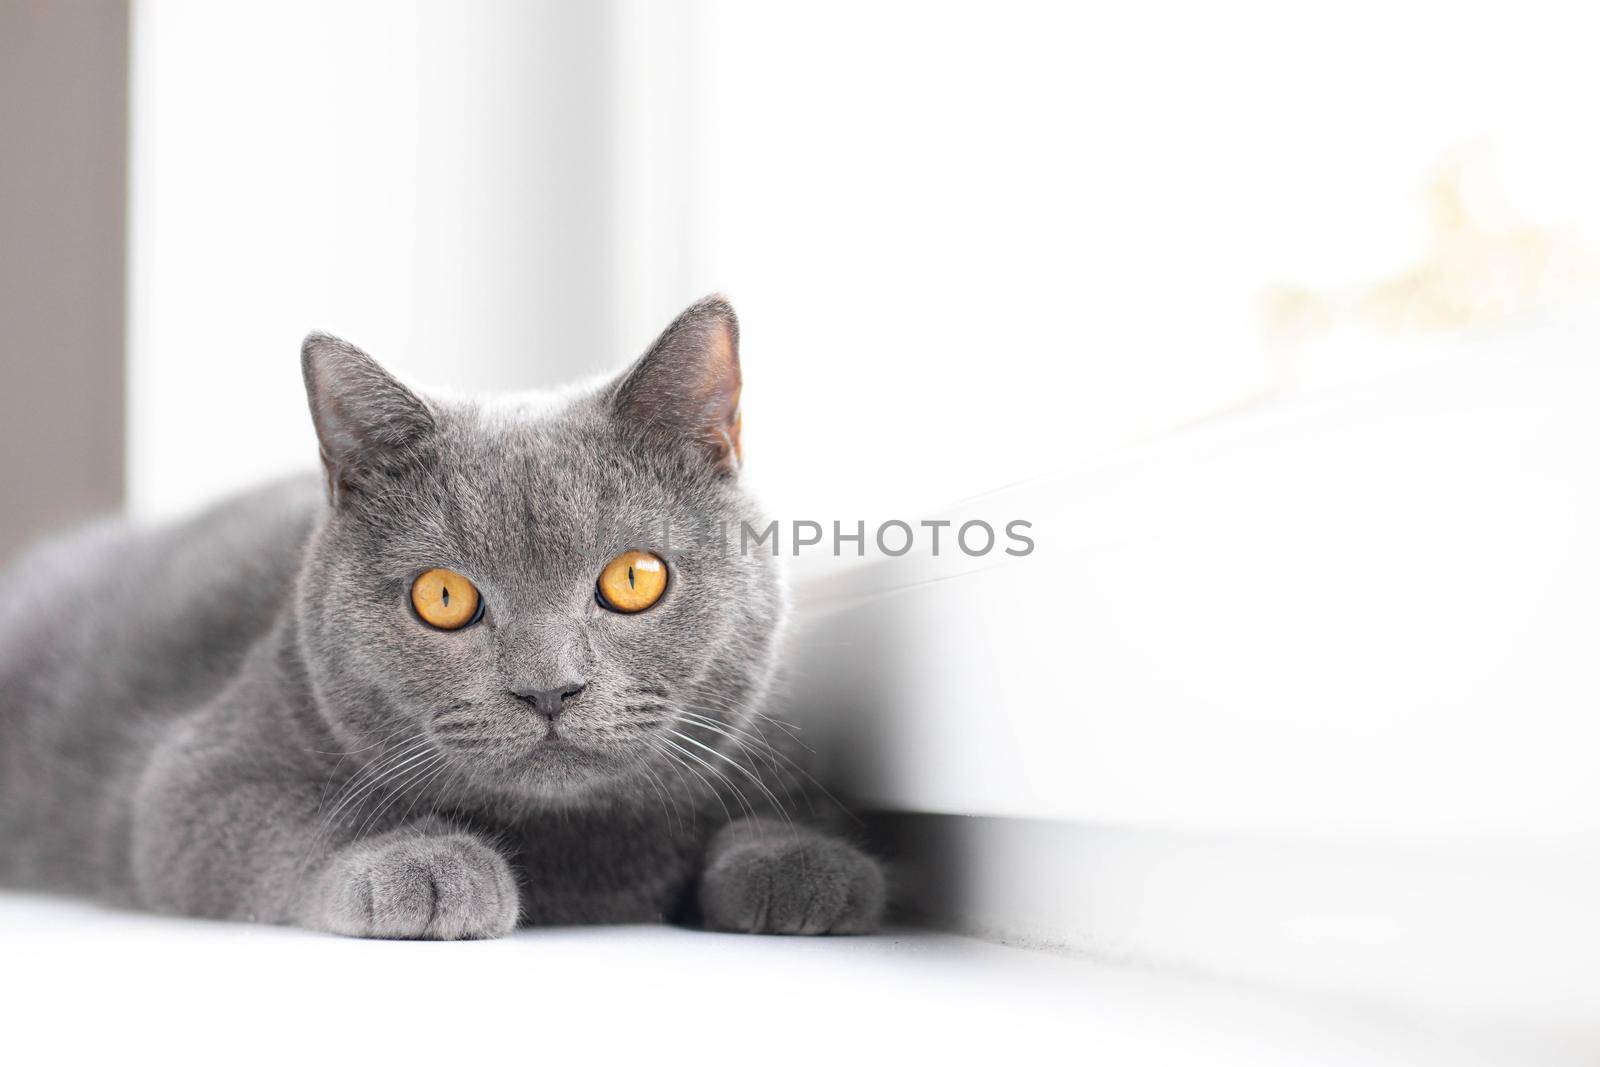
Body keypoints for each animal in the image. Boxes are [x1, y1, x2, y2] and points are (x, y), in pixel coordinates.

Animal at [0, 295, 889, 940]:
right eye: (443, 597)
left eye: (635, 578)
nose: (548, 688)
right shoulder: (191, 778)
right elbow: (298, 819)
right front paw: (424, 864)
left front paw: (799, 864)